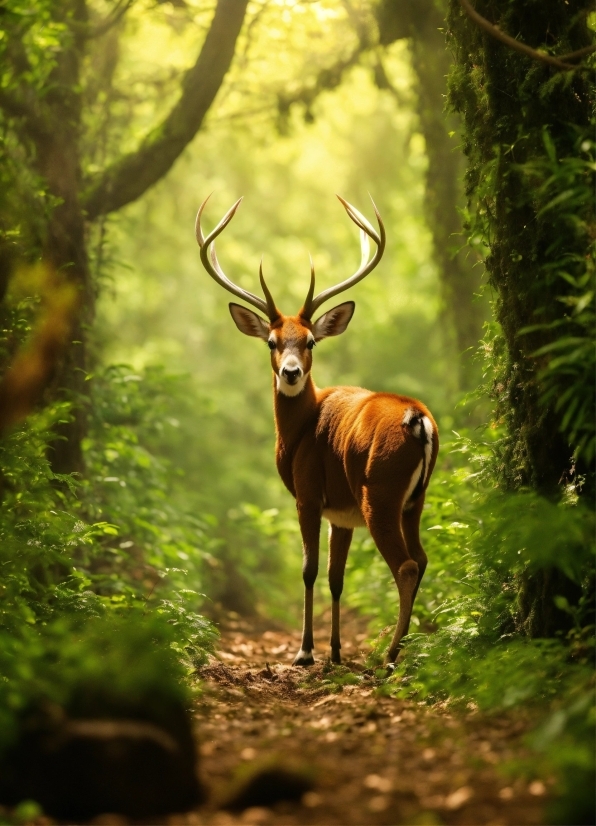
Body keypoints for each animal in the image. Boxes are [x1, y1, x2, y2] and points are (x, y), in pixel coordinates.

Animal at [196, 193, 438, 664]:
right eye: (272, 342)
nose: (290, 373)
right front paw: (336, 653)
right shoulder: (340, 513)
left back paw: (391, 656)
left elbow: (308, 570)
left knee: (405, 564)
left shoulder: (308, 494)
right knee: (421, 557)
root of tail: (417, 418)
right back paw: (404, 648)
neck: (299, 434)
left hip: (379, 491)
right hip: (413, 499)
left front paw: (306, 651)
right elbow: (335, 577)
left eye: (310, 341)